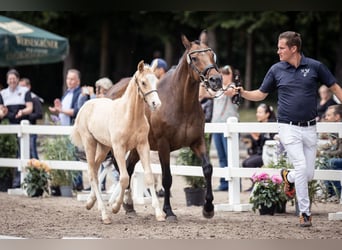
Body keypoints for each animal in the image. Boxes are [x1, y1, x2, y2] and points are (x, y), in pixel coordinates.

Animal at [70, 60, 164, 225]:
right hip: (90, 143)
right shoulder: (119, 149)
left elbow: (149, 176)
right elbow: (124, 178)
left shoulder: (143, 146)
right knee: (92, 172)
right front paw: (115, 207)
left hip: (103, 147)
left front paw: (159, 213)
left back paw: (90, 202)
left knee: (95, 169)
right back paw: (104, 214)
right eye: (143, 82)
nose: (155, 103)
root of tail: (85, 106)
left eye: (156, 81)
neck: (130, 116)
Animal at [107, 29, 224, 221]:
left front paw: (208, 208)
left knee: (129, 168)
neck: (180, 103)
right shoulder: (163, 145)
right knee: (122, 168)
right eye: (194, 58)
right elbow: (167, 178)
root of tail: (110, 91)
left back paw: (129, 204)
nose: (216, 80)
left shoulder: (197, 141)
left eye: (212, 54)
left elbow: (207, 169)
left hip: (137, 147)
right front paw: (168, 211)